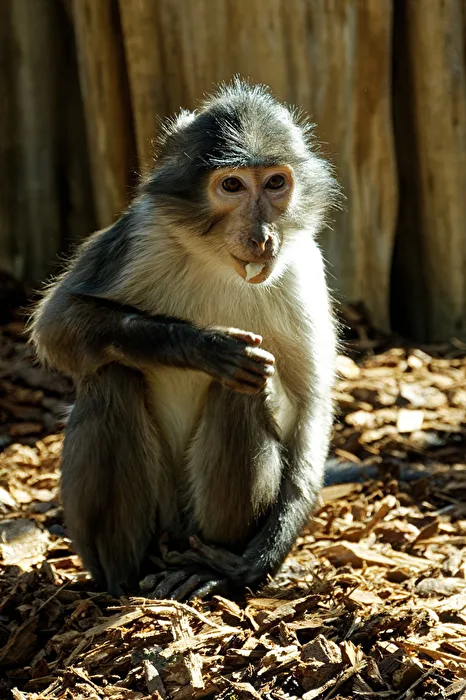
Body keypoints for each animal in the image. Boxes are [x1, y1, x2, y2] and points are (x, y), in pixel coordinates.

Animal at [30, 79, 339, 600]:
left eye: (275, 184)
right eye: (232, 186)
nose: (262, 237)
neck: (219, 263)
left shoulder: (302, 267)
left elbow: (310, 406)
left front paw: (262, 558)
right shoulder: (142, 235)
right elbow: (56, 324)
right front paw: (202, 347)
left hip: (192, 520)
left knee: (245, 388)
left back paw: (208, 570)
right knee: (113, 376)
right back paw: (126, 579)